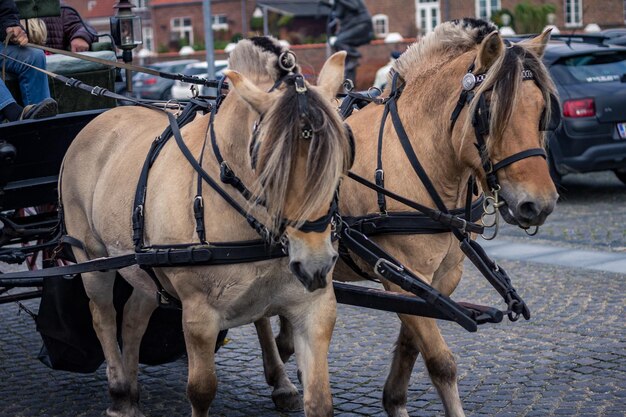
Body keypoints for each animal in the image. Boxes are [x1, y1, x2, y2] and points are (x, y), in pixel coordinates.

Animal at [58, 36, 352, 416]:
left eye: (341, 158)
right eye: (269, 167)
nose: (316, 265)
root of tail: (103, 116)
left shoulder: (313, 307)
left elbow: (319, 400)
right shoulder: (199, 314)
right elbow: (201, 389)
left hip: (144, 266)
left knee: (134, 316)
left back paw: (132, 389)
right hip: (91, 257)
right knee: (103, 316)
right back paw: (120, 392)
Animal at [256, 17, 560, 414]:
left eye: (541, 112)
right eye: (488, 113)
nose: (540, 204)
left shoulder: (440, 278)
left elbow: (413, 342)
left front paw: (394, 400)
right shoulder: (401, 274)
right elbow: (441, 361)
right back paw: (281, 378)